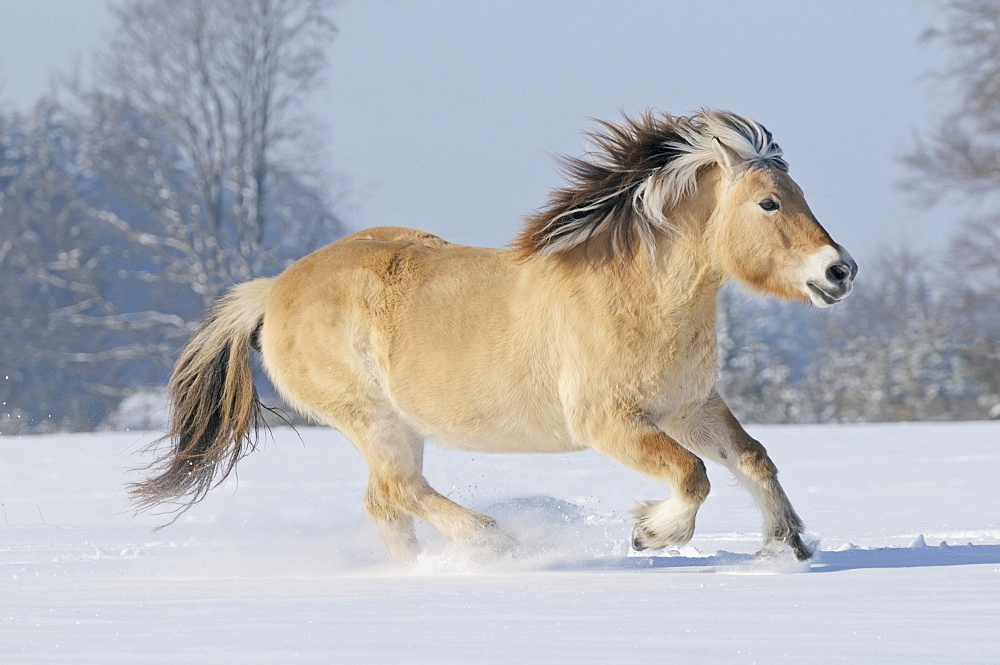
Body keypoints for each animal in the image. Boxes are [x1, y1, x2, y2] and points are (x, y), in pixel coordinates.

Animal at [129, 109, 856, 560]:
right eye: (769, 202)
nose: (839, 270)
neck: (640, 296)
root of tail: (273, 289)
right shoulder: (612, 423)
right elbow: (694, 474)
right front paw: (650, 534)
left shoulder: (690, 406)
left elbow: (752, 457)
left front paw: (786, 544)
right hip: (372, 419)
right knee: (398, 491)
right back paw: (495, 543)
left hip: (397, 427)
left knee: (385, 503)